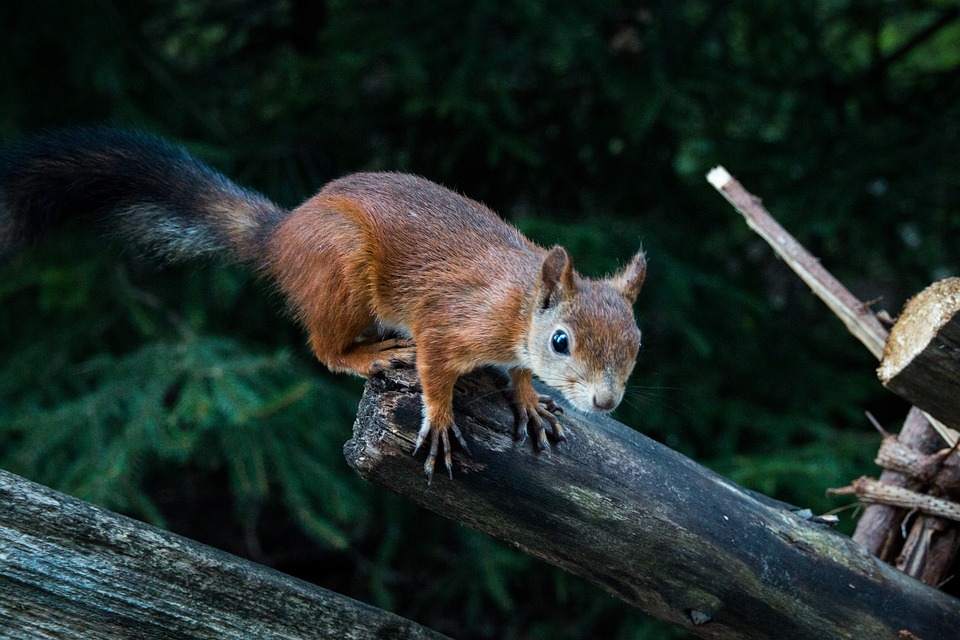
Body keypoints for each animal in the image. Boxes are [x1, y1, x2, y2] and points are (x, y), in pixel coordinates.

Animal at [0, 127, 646, 481]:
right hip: (340, 273)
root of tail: (282, 236)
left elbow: (517, 374)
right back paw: (369, 356)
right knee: (323, 349)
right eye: (561, 341)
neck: (517, 304)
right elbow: (437, 369)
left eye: (637, 344)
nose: (607, 402)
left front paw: (529, 399)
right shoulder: (451, 323)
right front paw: (440, 419)